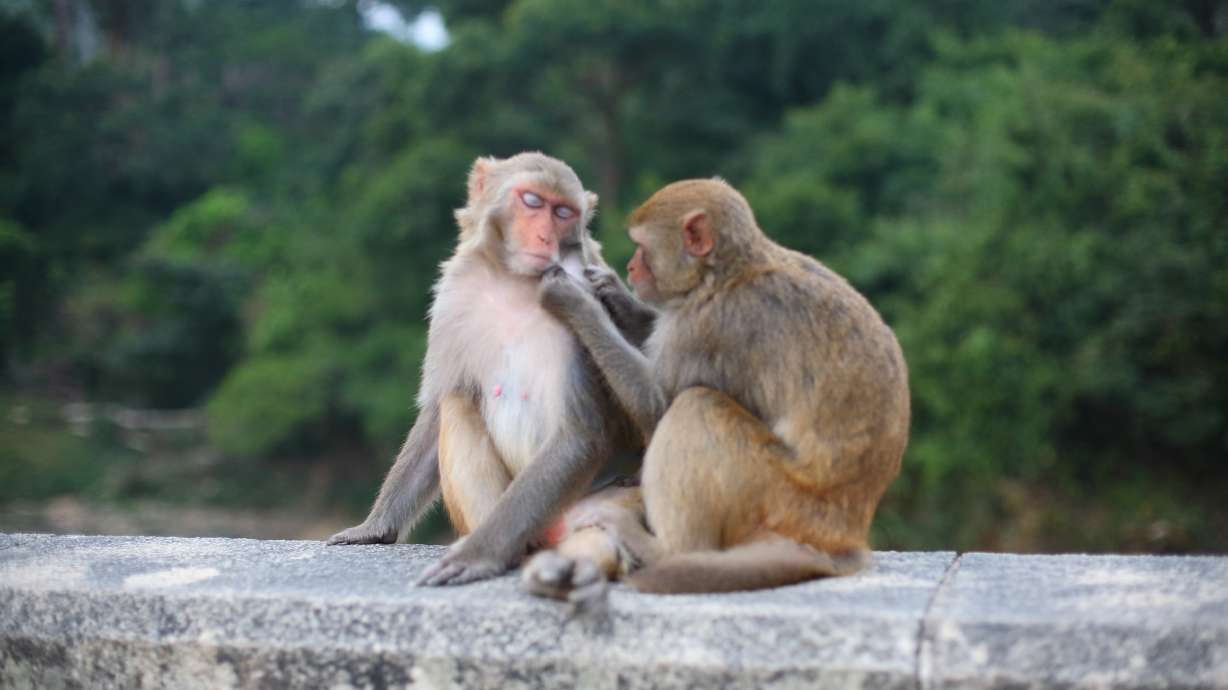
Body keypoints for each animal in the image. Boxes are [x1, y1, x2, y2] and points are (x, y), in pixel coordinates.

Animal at [327, 152, 639, 587]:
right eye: (532, 201)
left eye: (563, 212)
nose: (544, 238)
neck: (513, 283)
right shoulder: (452, 300)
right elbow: (438, 406)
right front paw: (375, 527)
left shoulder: (579, 293)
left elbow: (580, 432)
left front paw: (478, 556)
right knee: (458, 403)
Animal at [525, 177, 909, 595]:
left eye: (641, 246)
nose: (630, 267)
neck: (724, 274)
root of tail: (843, 537)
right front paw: (613, 294)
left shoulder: (709, 328)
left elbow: (657, 404)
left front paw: (575, 302)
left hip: (779, 499)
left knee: (695, 405)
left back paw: (664, 549)